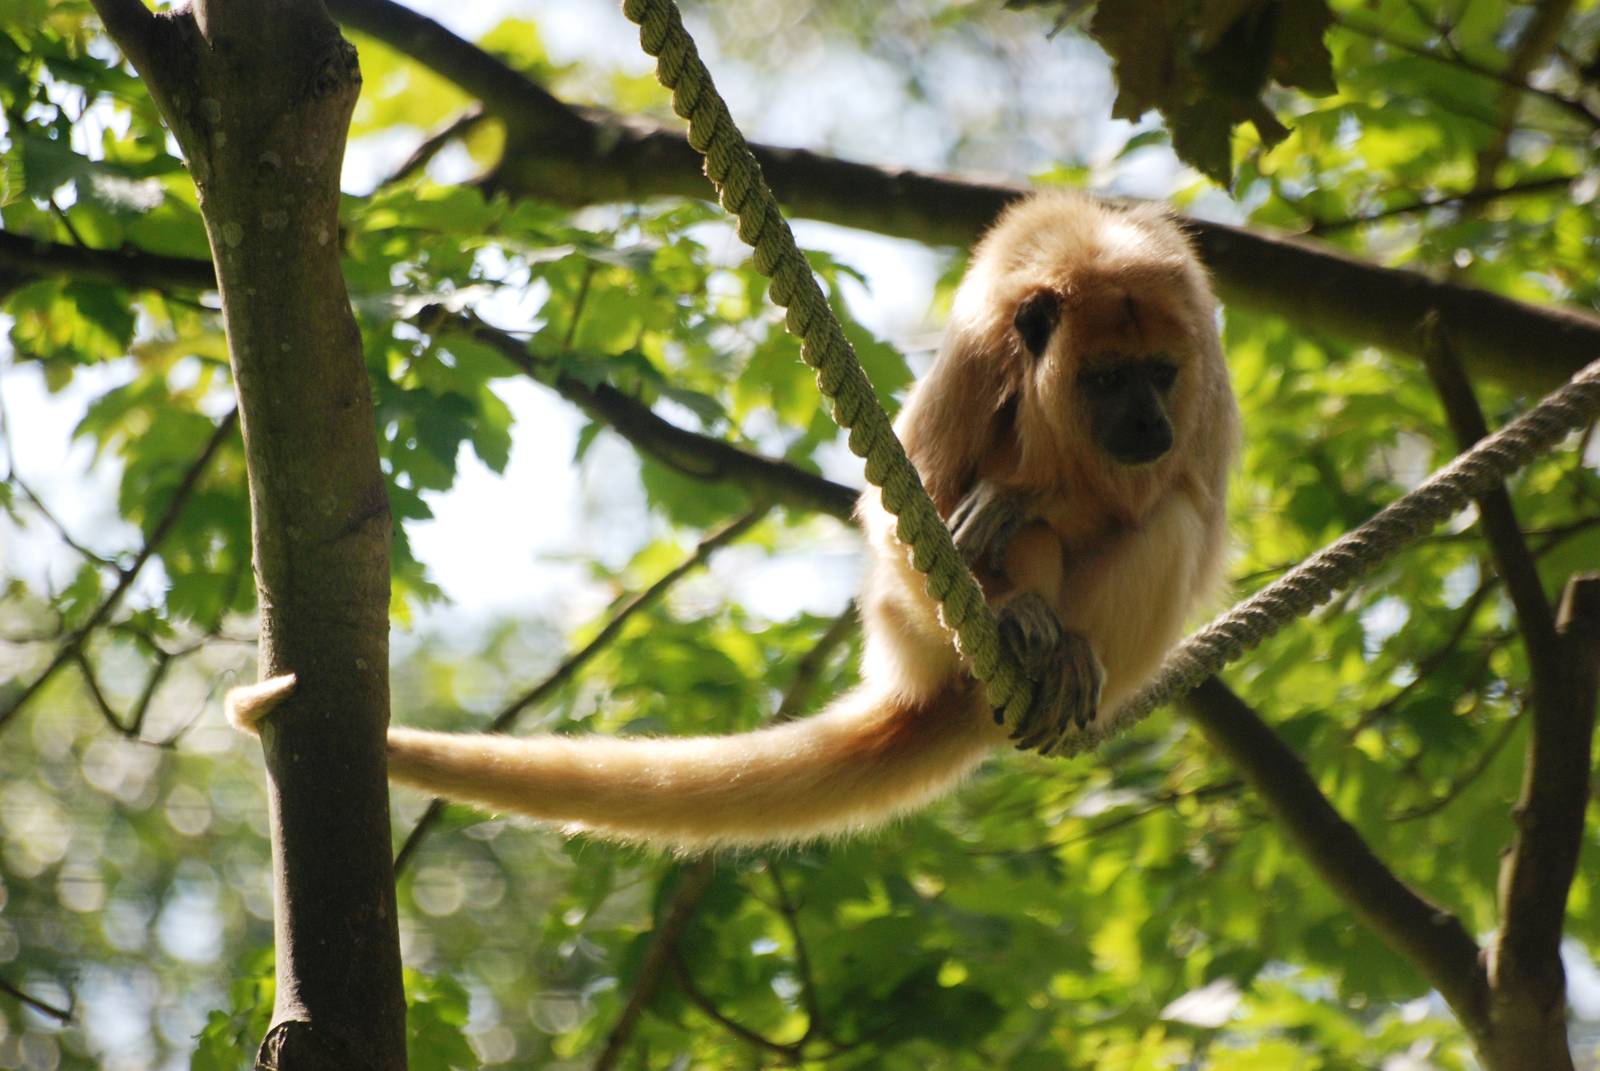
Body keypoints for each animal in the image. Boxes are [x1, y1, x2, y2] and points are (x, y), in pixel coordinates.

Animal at [227, 189, 1239, 851]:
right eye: (1106, 378)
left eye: (1161, 373)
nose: (1147, 425)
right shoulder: (983, 342)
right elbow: (892, 511)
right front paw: (1012, 547)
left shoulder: (1202, 354)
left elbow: (1185, 503)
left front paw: (1041, 500)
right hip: (906, 627)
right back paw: (1022, 611)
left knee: (1174, 518)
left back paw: (1062, 639)